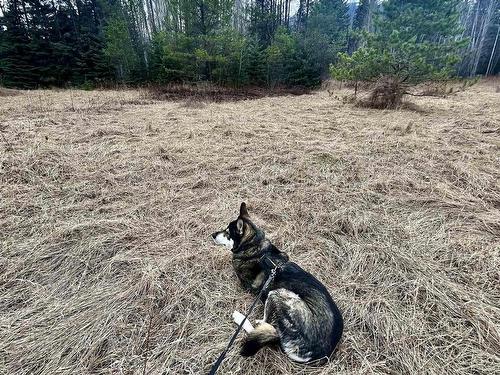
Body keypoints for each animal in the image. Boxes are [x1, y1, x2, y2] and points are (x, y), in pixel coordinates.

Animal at [211, 204, 344, 366]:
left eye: (227, 233)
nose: (212, 234)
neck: (255, 246)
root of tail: (317, 354)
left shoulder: (246, 285)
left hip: (277, 293)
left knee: (264, 325)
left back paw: (241, 318)